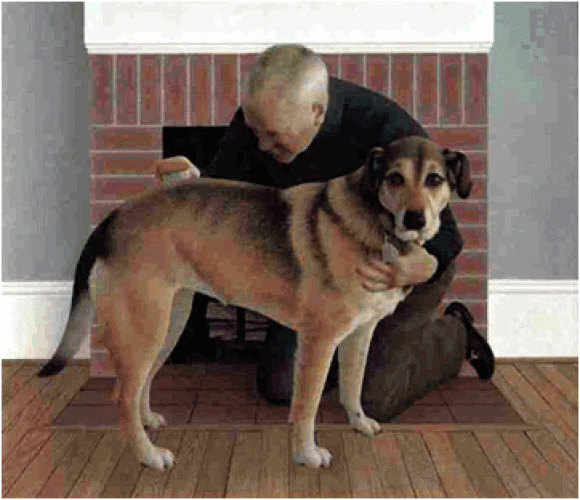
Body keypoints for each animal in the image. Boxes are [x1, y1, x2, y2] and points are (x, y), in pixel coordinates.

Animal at [37, 136, 472, 468]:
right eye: (395, 179)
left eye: (434, 179)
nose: (415, 219)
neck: (375, 221)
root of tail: (114, 218)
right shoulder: (320, 340)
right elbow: (308, 404)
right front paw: (307, 454)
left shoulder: (360, 333)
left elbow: (353, 385)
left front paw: (359, 422)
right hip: (145, 326)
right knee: (122, 397)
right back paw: (149, 455)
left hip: (168, 323)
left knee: (141, 384)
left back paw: (149, 423)